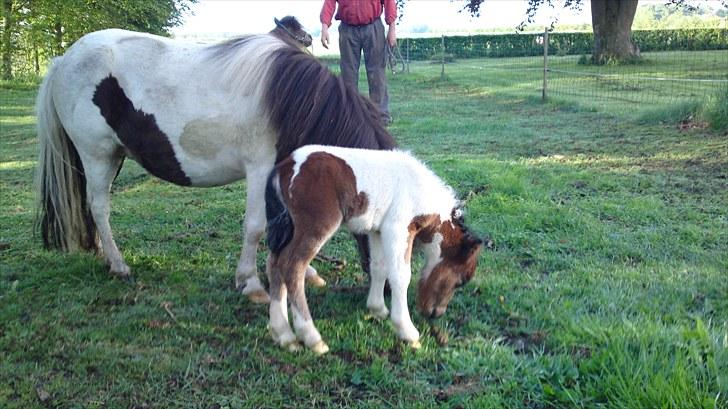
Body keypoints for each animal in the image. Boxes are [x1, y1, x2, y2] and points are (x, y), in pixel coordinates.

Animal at [34, 15, 396, 302]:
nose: (392, 290)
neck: (292, 100)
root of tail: (62, 60)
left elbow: (289, 222)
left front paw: (302, 273)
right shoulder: (260, 169)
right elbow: (256, 226)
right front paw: (250, 283)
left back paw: (102, 254)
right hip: (97, 155)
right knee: (98, 206)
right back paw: (119, 265)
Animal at [264, 145, 480, 352]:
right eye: (460, 281)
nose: (435, 313)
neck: (419, 191)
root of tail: (285, 167)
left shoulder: (377, 231)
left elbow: (379, 267)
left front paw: (377, 309)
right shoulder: (398, 228)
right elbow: (401, 276)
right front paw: (407, 330)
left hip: (289, 227)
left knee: (274, 262)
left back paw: (283, 334)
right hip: (316, 225)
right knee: (293, 266)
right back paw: (311, 337)